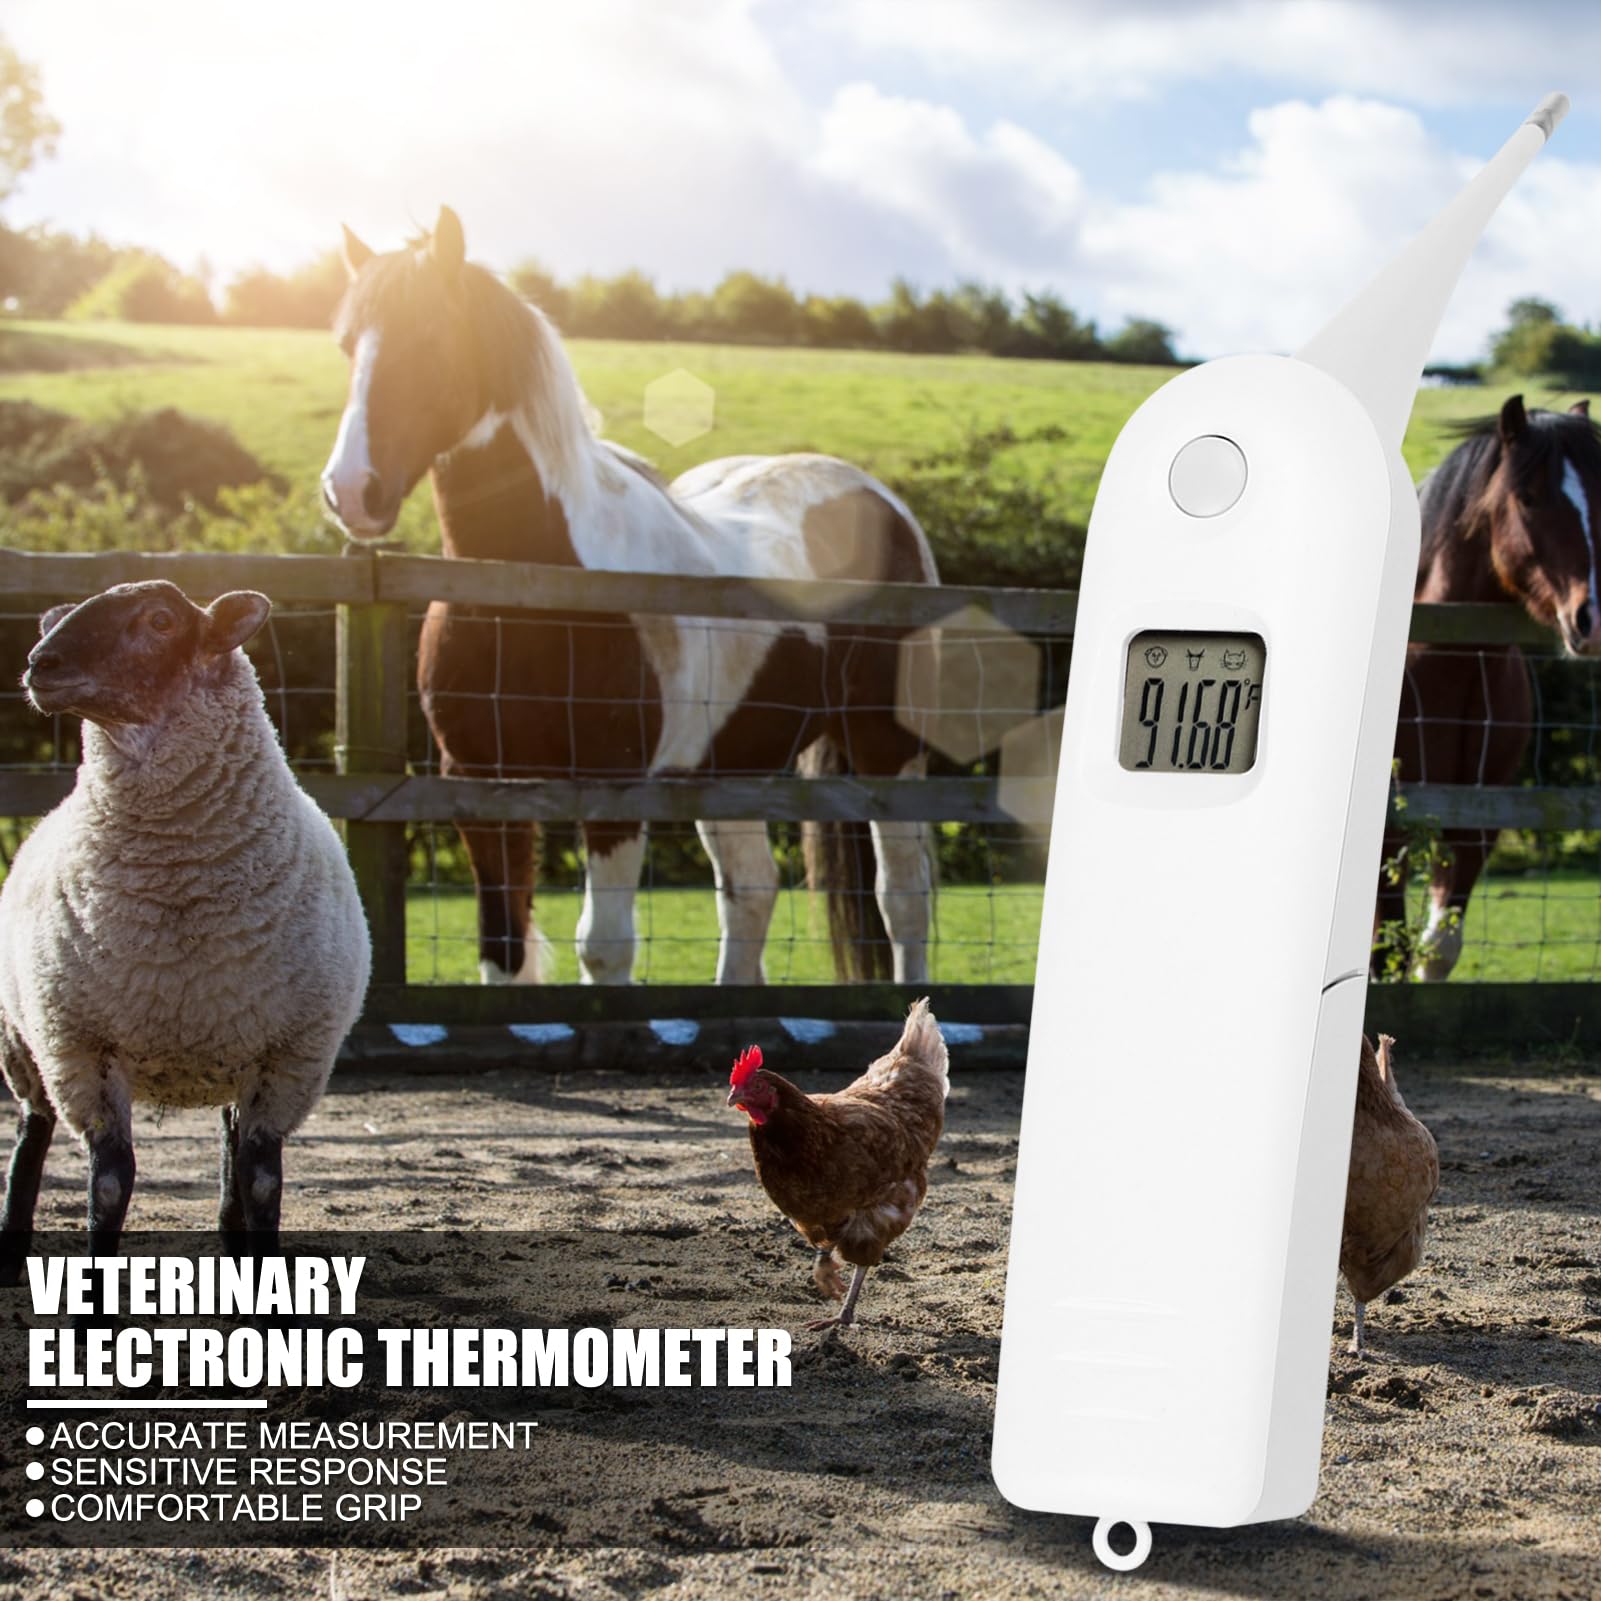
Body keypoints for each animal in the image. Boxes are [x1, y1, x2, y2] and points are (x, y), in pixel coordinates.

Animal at [319, 207, 939, 987]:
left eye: (429, 337)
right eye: (347, 345)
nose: (351, 492)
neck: (532, 588)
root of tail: (885, 505)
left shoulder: (611, 787)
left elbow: (604, 946)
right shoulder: (479, 788)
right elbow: (503, 949)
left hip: (887, 747)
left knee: (902, 897)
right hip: (730, 761)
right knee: (752, 892)